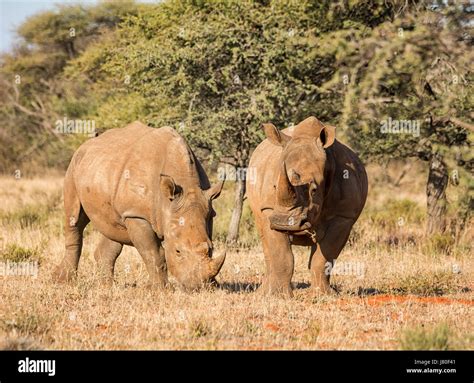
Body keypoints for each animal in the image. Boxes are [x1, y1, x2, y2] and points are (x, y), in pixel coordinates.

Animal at [54, 122, 226, 292]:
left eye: (211, 248)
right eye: (177, 251)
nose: (197, 287)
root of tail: (86, 144)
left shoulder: (207, 208)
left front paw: (213, 285)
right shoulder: (136, 214)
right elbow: (154, 252)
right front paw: (160, 290)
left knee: (113, 228)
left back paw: (106, 287)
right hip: (74, 166)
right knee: (74, 219)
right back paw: (64, 282)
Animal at [246, 116, 368, 296]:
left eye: (314, 190)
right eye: (275, 186)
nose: (284, 222)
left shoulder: (344, 216)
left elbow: (324, 257)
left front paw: (322, 294)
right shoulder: (269, 209)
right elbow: (281, 255)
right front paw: (278, 295)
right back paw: (262, 292)